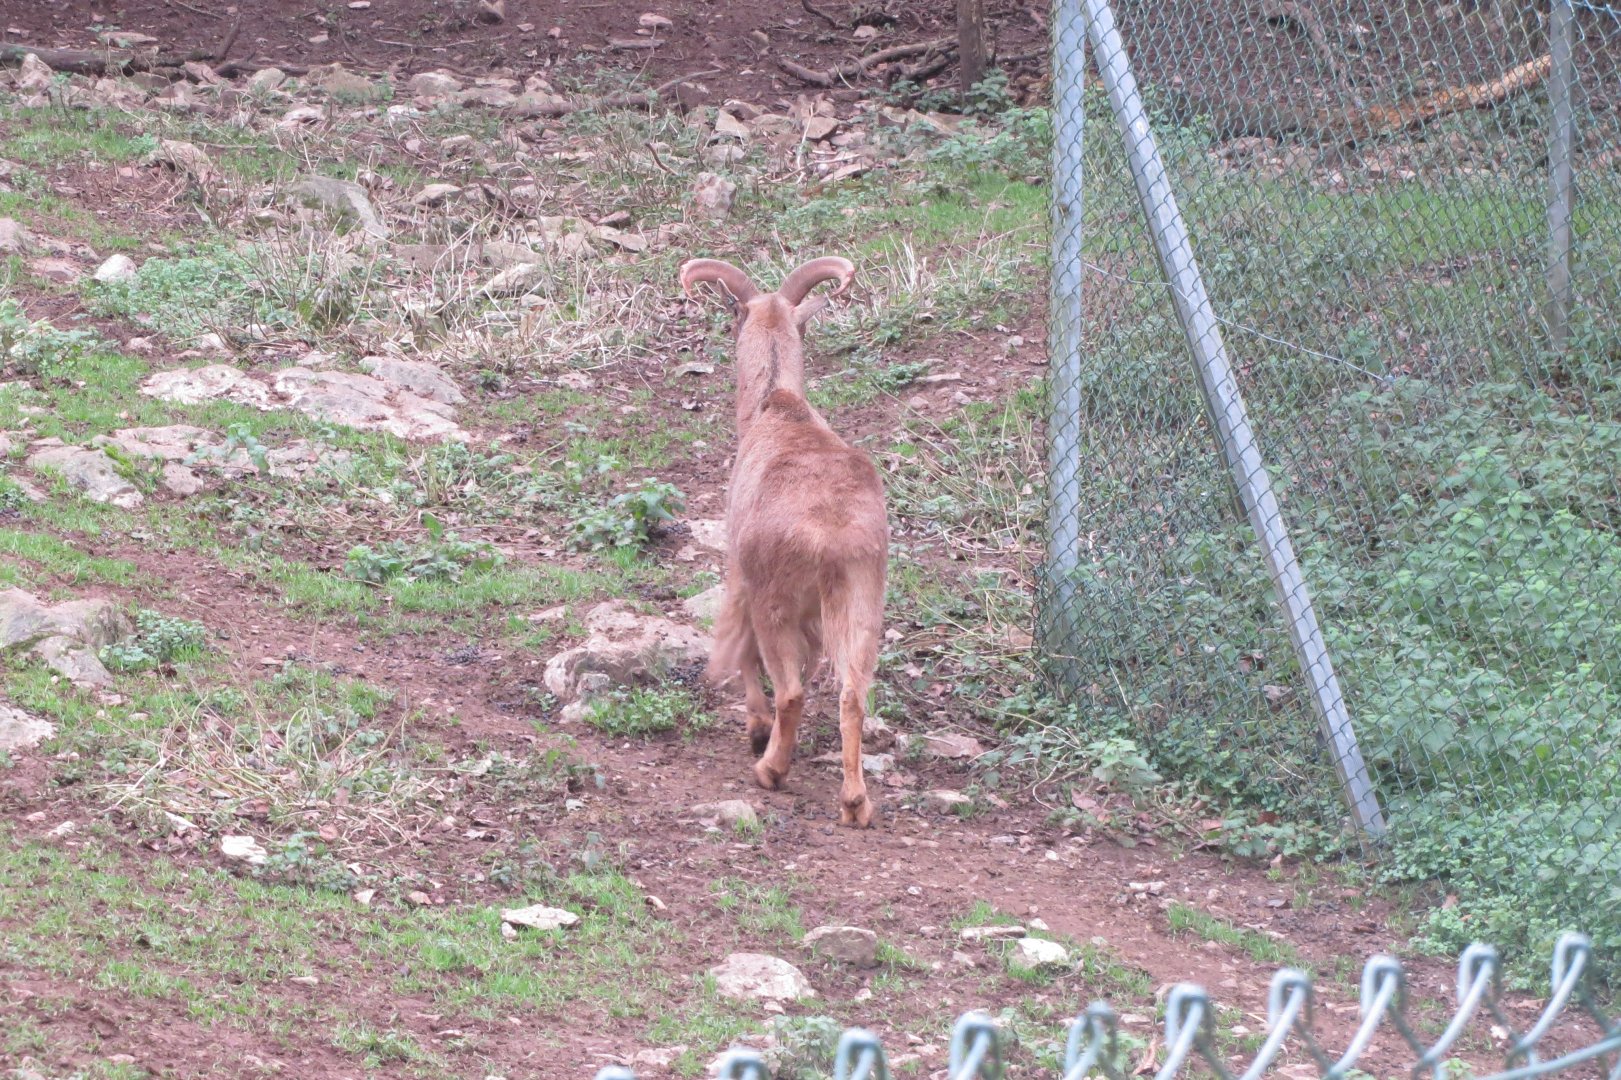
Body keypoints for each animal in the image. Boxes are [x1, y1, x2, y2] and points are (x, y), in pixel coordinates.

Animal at [679, 255, 889, 828]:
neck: (777, 404)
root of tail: (833, 535)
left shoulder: (741, 576)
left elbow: (742, 650)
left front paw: (755, 729)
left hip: (778, 602)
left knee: (790, 689)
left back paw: (770, 769)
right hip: (862, 604)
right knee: (852, 695)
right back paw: (855, 802)